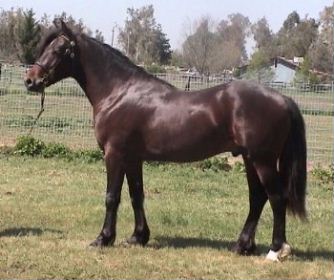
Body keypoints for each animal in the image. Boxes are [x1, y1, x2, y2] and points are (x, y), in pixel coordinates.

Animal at [23, 20, 306, 262]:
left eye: (60, 49)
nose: (30, 80)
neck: (119, 92)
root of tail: (283, 99)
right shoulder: (133, 158)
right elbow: (137, 195)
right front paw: (138, 237)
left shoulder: (114, 154)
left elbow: (112, 196)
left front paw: (103, 239)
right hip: (249, 159)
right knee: (257, 198)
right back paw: (242, 245)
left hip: (262, 160)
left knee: (276, 198)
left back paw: (275, 250)